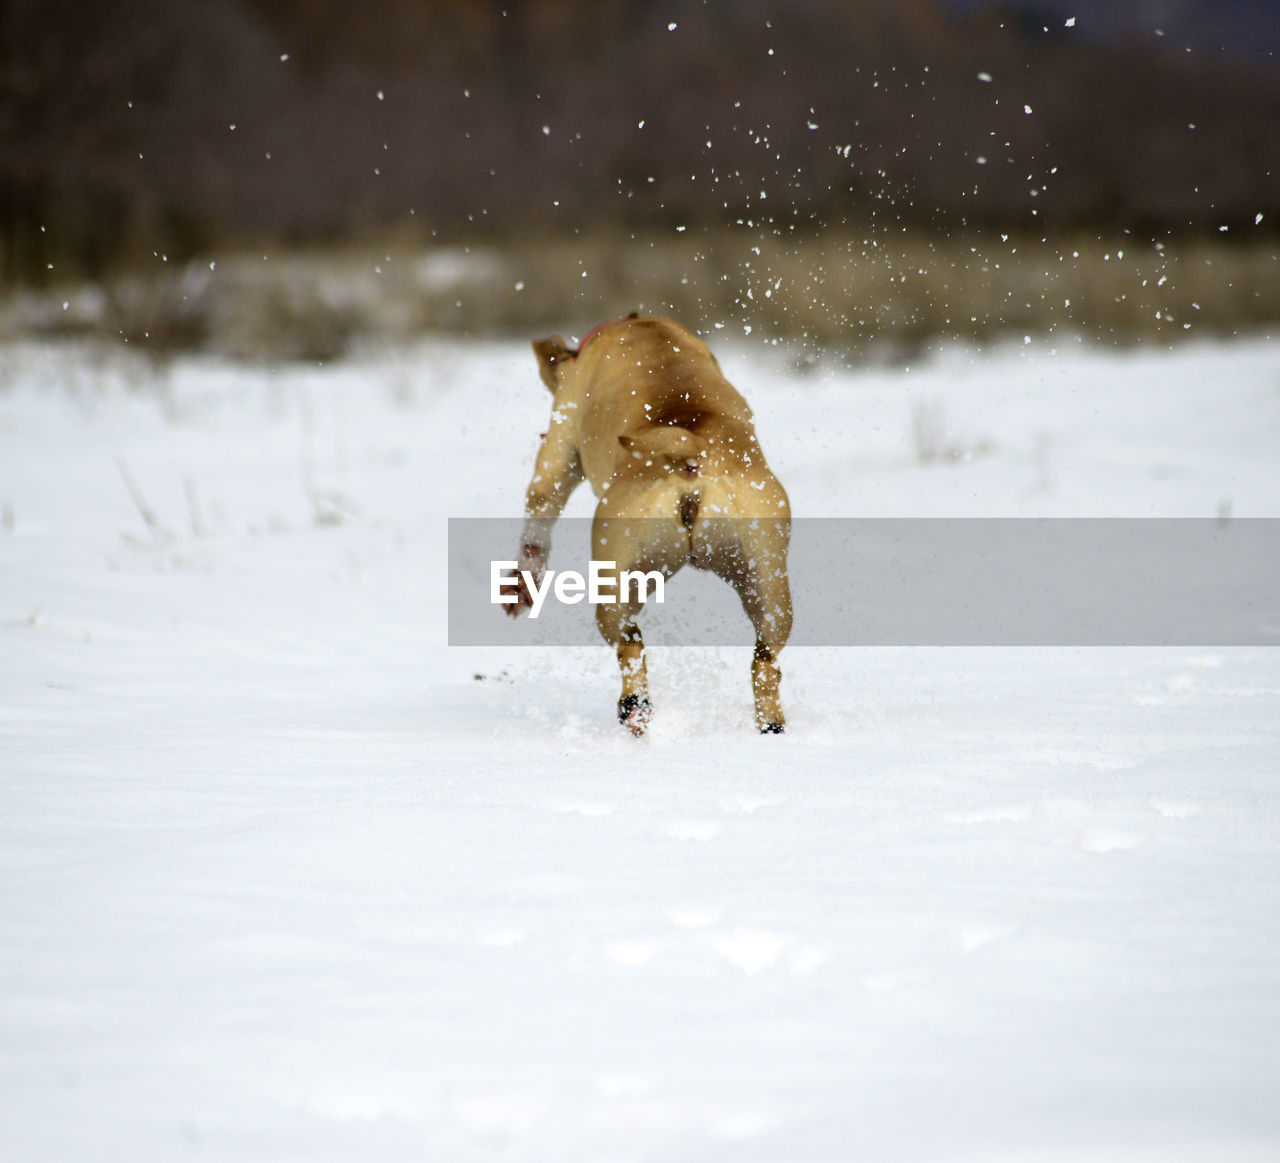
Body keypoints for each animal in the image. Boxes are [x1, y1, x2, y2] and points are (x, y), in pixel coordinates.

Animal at [501, 316, 788, 736]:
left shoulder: (559, 449)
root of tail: (691, 460)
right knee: (765, 661)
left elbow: (538, 519)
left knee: (630, 645)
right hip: (767, 580)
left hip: (615, 579)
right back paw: (771, 725)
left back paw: (634, 710)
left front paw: (522, 583)